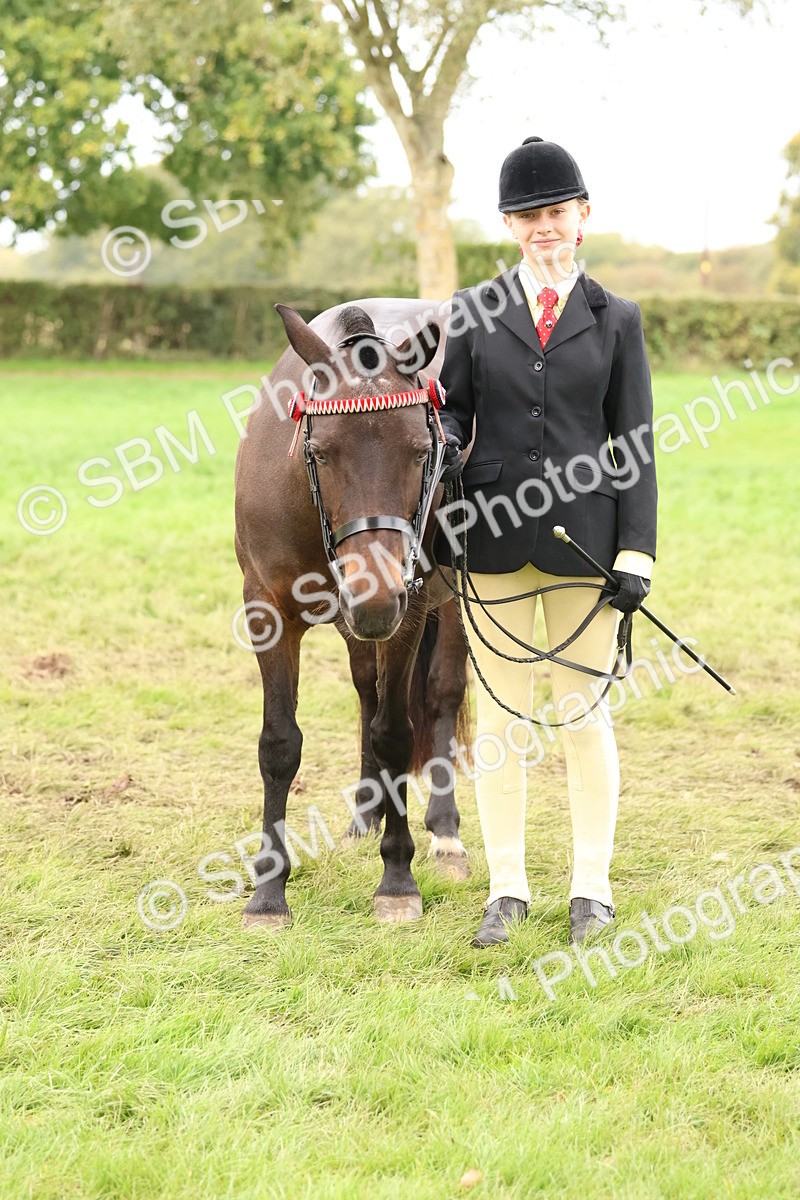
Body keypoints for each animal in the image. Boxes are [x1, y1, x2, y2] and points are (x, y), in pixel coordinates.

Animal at [234, 297, 471, 927]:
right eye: (319, 452)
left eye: (421, 451)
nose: (375, 593)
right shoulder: (266, 608)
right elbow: (279, 744)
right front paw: (269, 890)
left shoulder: (408, 611)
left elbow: (395, 734)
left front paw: (397, 879)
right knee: (368, 690)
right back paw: (366, 813)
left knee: (440, 696)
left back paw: (445, 835)